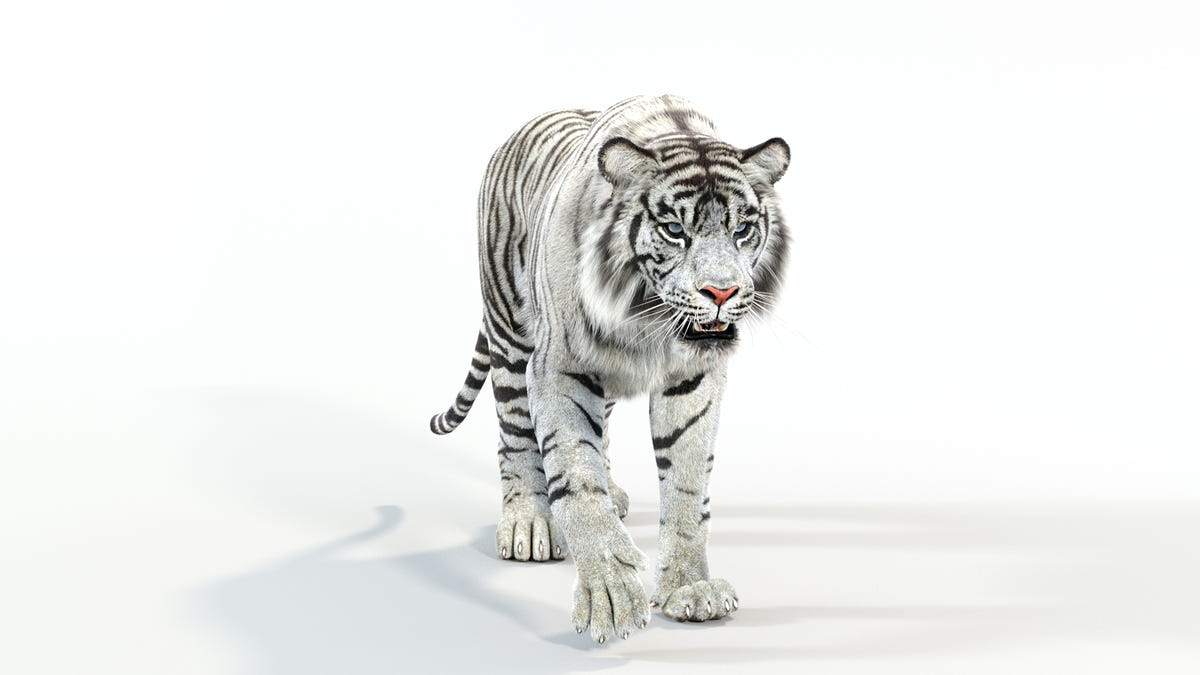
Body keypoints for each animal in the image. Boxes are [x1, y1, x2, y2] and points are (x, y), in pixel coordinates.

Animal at [430, 94, 790, 643]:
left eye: (742, 229)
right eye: (674, 231)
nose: (722, 291)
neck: (645, 316)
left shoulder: (691, 379)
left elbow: (686, 483)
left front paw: (690, 587)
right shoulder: (559, 366)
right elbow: (576, 477)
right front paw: (611, 595)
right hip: (510, 332)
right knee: (514, 433)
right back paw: (527, 521)